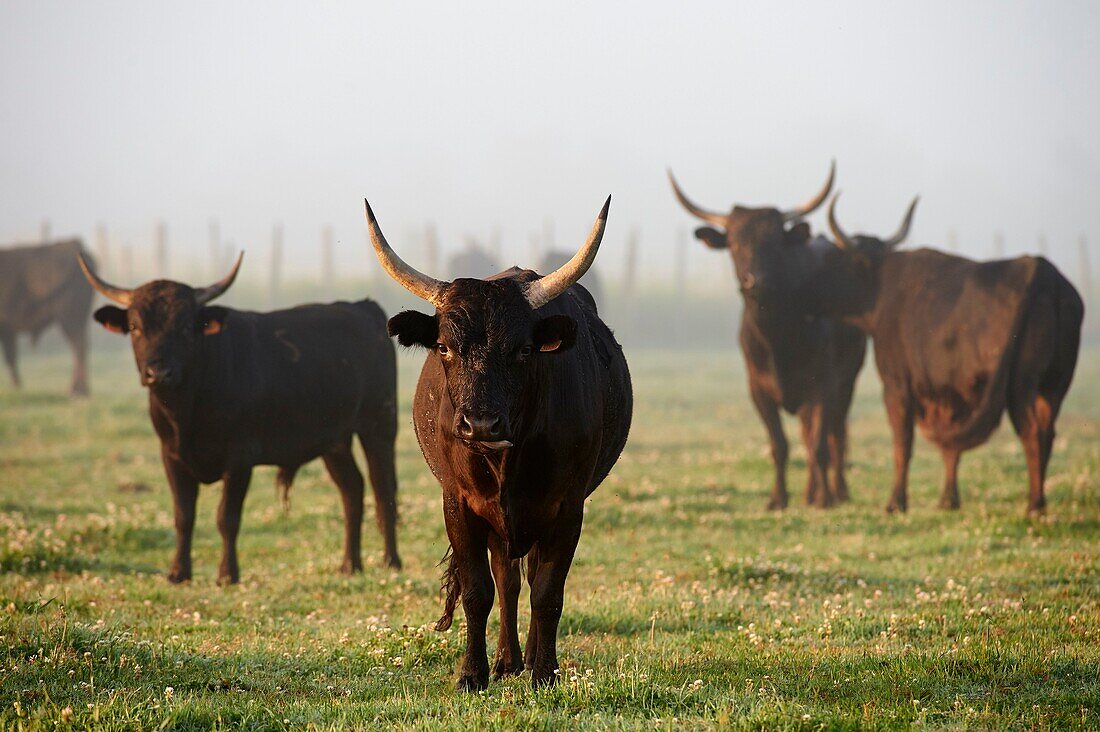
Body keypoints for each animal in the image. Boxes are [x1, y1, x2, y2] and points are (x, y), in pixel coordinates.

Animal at [0, 239, 93, 394]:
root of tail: (76, 244)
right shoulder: (8, 331)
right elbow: (11, 356)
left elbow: (10, 357)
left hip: (68, 317)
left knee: (78, 346)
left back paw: (77, 390)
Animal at [80, 254, 400, 585]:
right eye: (134, 326)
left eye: (185, 326)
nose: (159, 373)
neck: (188, 411)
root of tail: (362, 307)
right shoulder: (171, 456)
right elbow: (183, 516)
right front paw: (178, 572)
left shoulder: (240, 458)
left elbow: (227, 517)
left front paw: (227, 574)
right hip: (334, 442)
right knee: (352, 490)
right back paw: (350, 564)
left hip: (379, 425)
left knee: (383, 490)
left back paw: (391, 561)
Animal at [365, 197, 633, 686]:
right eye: (445, 347)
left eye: (523, 350)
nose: (481, 425)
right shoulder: (458, 503)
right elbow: (478, 590)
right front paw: (472, 674)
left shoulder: (568, 507)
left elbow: (548, 591)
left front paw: (544, 672)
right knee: (506, 580)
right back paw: (507, 660)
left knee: (526, 575)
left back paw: (526, 660)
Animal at [668, 164, 866, 508]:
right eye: (734, 243)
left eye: (774, 243)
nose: (755, 281)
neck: (778, 338)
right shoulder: (757, 388)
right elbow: (780, 445)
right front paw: (778, 499)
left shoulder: (824, 385)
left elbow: (820, 444)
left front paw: (824, 499)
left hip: (848, 381)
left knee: (837, 435)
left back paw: (835, 491)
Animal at [805, 193, 1086, 510]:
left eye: (833, 259)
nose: (806, 289)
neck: (883, 289)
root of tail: (1041, 269)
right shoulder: (948, 393)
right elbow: (950, 448)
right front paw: (948, 500)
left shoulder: (896, 385)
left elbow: (903, 443)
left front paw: (896, 502)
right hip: (1055, 382)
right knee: (1047, 432)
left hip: (1022, 384)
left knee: (1032, 432)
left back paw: (1034, 504)